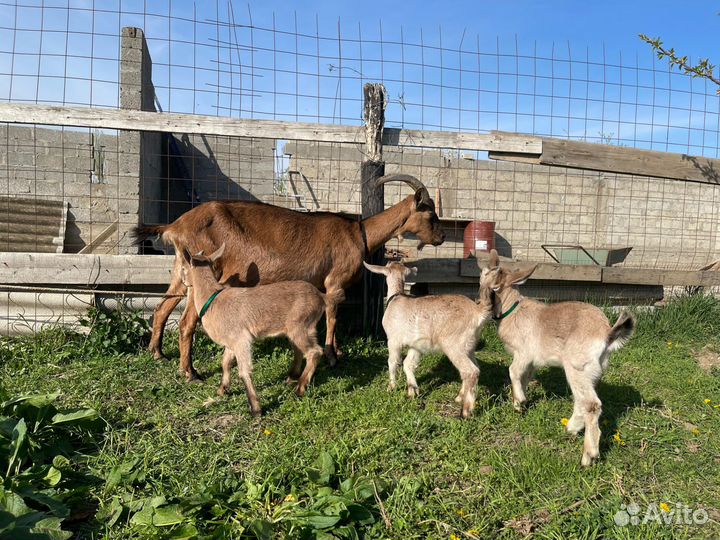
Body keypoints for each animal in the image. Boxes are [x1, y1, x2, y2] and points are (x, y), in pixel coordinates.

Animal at [132, 174, 445, 382]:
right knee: (186, 322)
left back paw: (157, 353)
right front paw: (333, 356)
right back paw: (190, 372)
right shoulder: (334, 283)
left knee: (162, 308)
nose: (441, 237)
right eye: (430, 214)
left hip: (181, 272)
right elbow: (332, 317)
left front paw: (336, 351)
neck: (359, 233)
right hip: (206, 271)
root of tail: (175, 225)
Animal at [180, 243, 342, 416]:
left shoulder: (241, 339)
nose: (183, 281)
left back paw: (300, 388)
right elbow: (225, 363)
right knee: (299, 350)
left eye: (183, 268)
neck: (212, 299)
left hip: (301, 325)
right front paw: (222, 390)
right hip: (299, 329)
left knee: (314, 352)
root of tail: (322, 296)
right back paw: (292, 377)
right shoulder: (231, 342)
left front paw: (255, 409)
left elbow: (244, 371)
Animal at [363, 261, 493, 418]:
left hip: (453, 345)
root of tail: (478, 312)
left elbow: (393, 362)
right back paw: (459, 397)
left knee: (470, 371)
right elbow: (408, 364)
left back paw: (466, 411)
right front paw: (412, 390)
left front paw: (391, 387)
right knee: (476, 368)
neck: (397, 297)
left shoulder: (393, 340)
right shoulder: (416, 345)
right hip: (469, 346)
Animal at [478, 249, 635, 466]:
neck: (513, 310)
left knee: (591, 404)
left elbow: (513, 372)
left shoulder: (523, 353)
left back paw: (588, 455)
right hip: (591, 371)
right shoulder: (532, 362)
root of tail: (606, 333)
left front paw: (518, 402)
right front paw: (522, 402)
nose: (479, 303)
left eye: (490, 286)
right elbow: (525, 378)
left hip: (577, 366)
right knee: (582, 400)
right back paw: (571, 428)